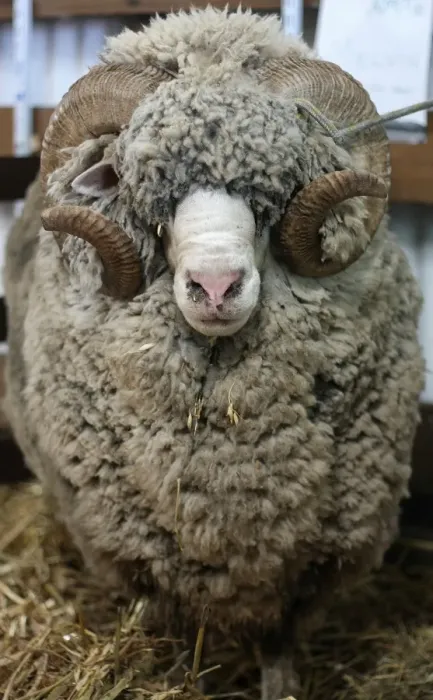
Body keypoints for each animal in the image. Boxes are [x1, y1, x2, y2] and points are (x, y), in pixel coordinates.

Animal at [2, 7, 429, 698]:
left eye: (274, 195)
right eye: (149, 199)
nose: (217, 287)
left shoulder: (312, 555)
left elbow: (280, 644)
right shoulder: (147, 556)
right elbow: (177, 640)